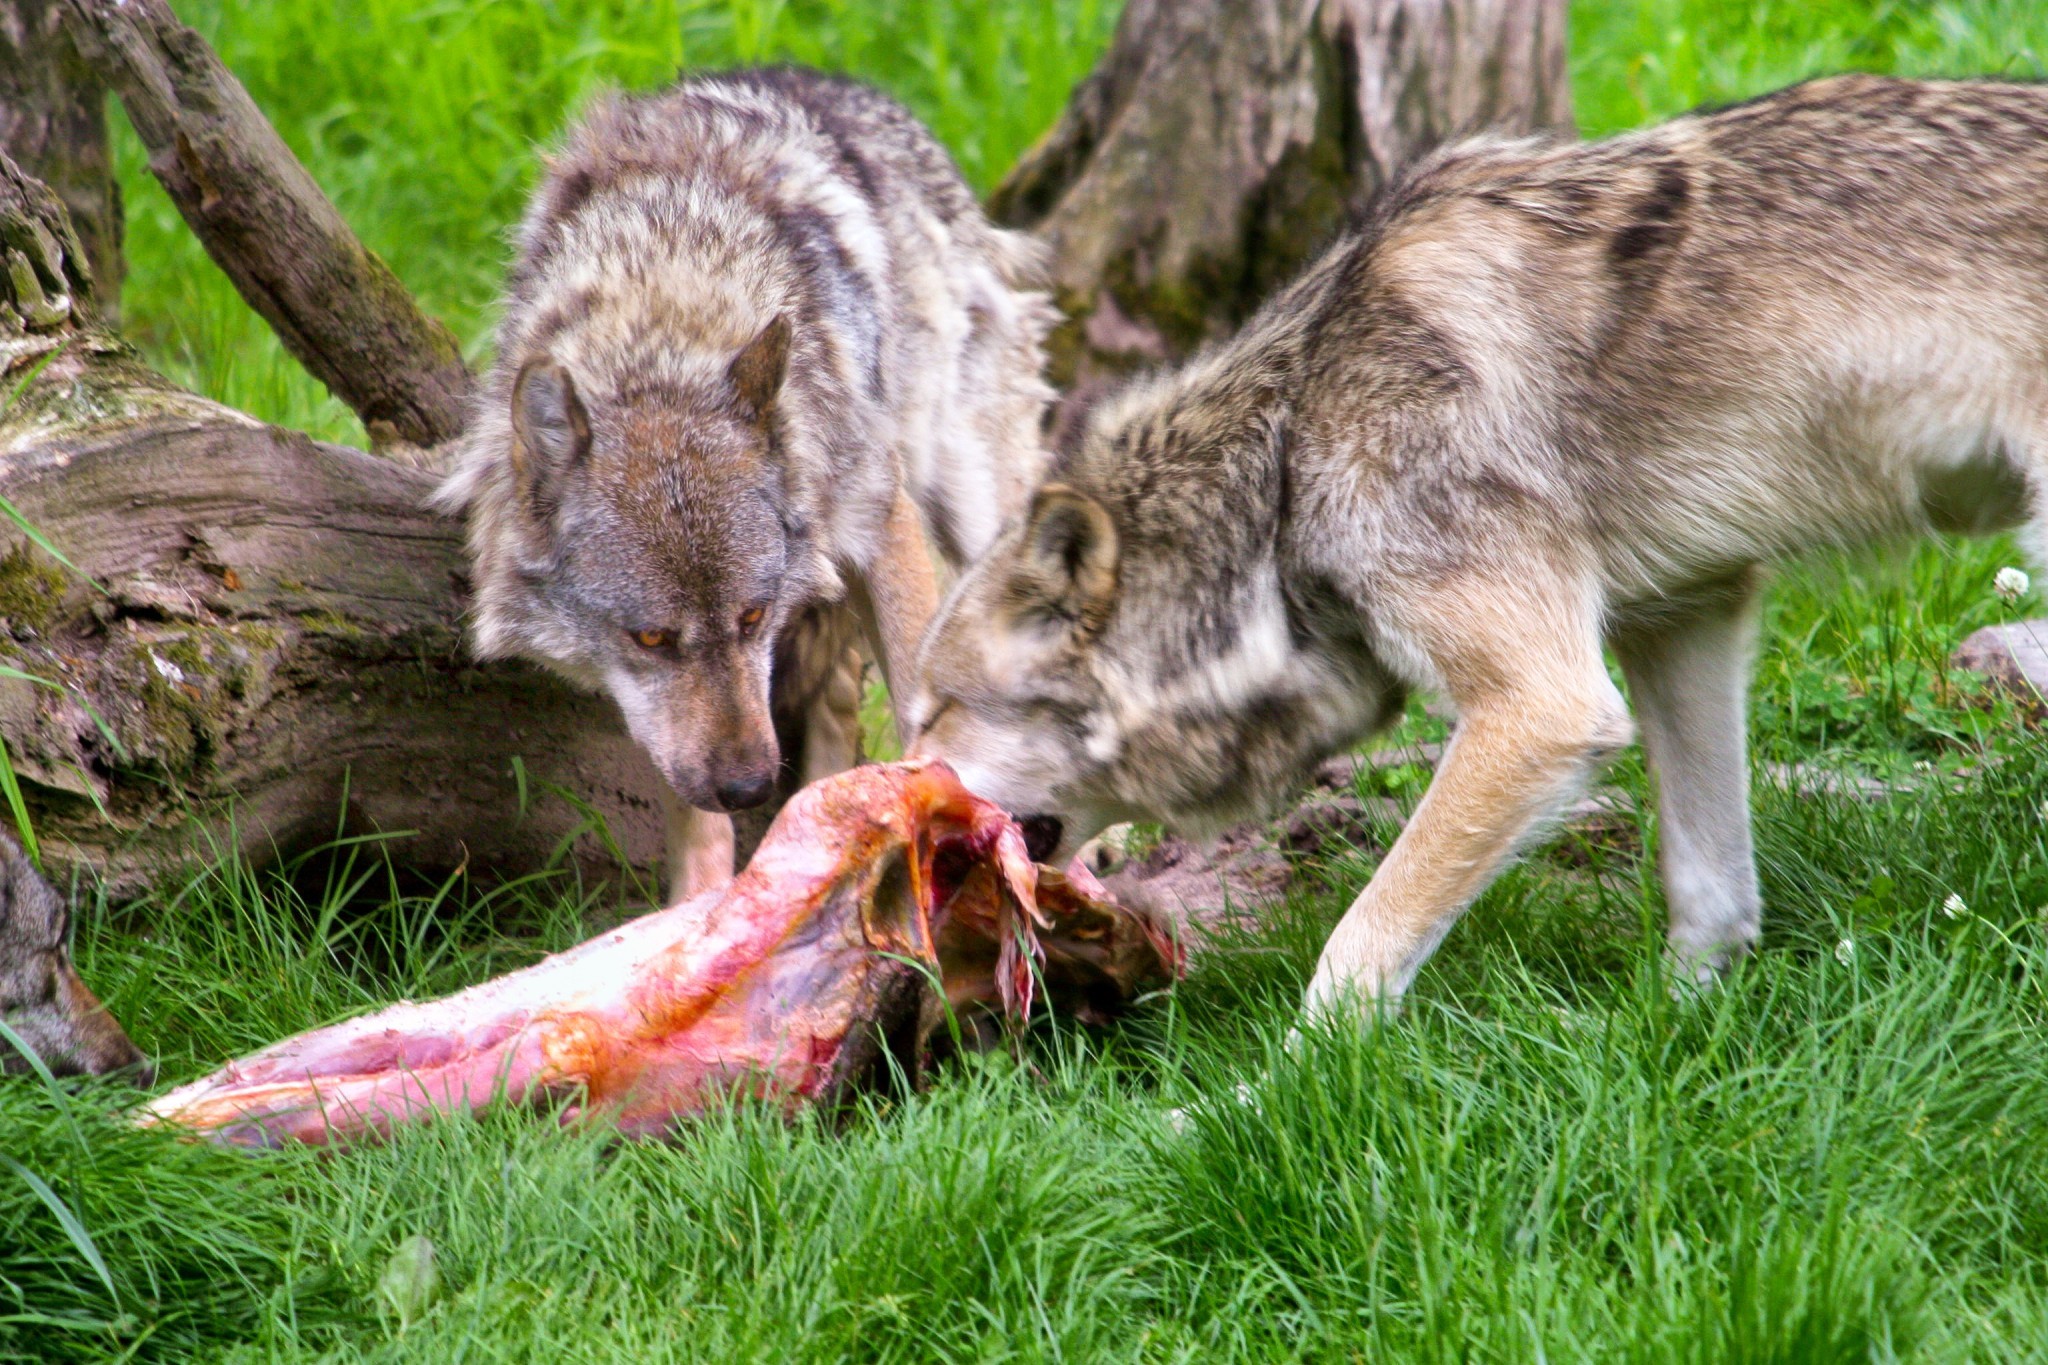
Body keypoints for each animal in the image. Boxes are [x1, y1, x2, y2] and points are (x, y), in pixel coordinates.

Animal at [442, 69, 1064, 900]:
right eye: (651, 638)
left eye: (752, 615)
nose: (748, 787)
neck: (661, 323)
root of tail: (843, 84)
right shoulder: (673, 723)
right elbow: (694, 812)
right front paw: (703, 905)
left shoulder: (882, 519)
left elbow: (921, 702)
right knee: (837, 702)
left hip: (973, 512)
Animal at [909, 74, 2048, 1015]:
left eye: (931, 712)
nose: (896, 800)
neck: (1284, 462)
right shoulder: (1685, 617)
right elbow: (1709, 886)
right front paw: (1671, 1034)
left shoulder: (1542, 708)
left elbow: (1352, 952)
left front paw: (1256, 1103)